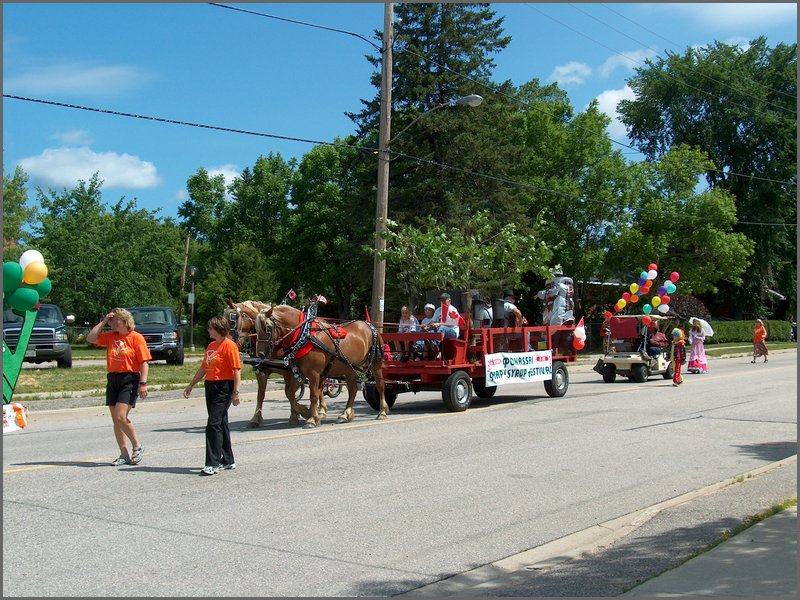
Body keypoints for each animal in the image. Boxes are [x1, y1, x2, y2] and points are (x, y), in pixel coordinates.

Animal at [256, 304, 388, 426]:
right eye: (256, 329)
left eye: (267, 327)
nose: (260, 354)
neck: (305, 336)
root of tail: (370, 325)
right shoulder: (301, 372)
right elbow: (290, 393)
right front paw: (305, 412)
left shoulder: (314, 373)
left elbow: (313, 395)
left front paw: (312, 419)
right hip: (349, 368)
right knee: (353, 390)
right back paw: (345, 414)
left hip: (376, 362)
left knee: (380, 385)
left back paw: (382, 412)